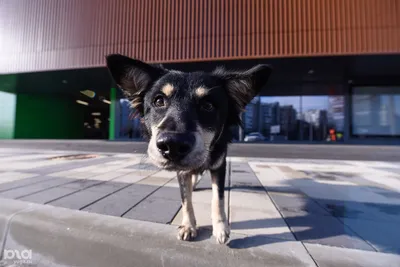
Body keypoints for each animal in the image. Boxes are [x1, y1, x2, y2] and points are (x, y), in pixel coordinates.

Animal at [106, 55, 272, 246]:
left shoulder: (219, 165)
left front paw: (221, 228)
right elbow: (186, 198)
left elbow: (218, 198)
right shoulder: (182, 172)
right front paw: (188, 226)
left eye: (208, 105)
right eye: (159, 101)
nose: (172, 145)